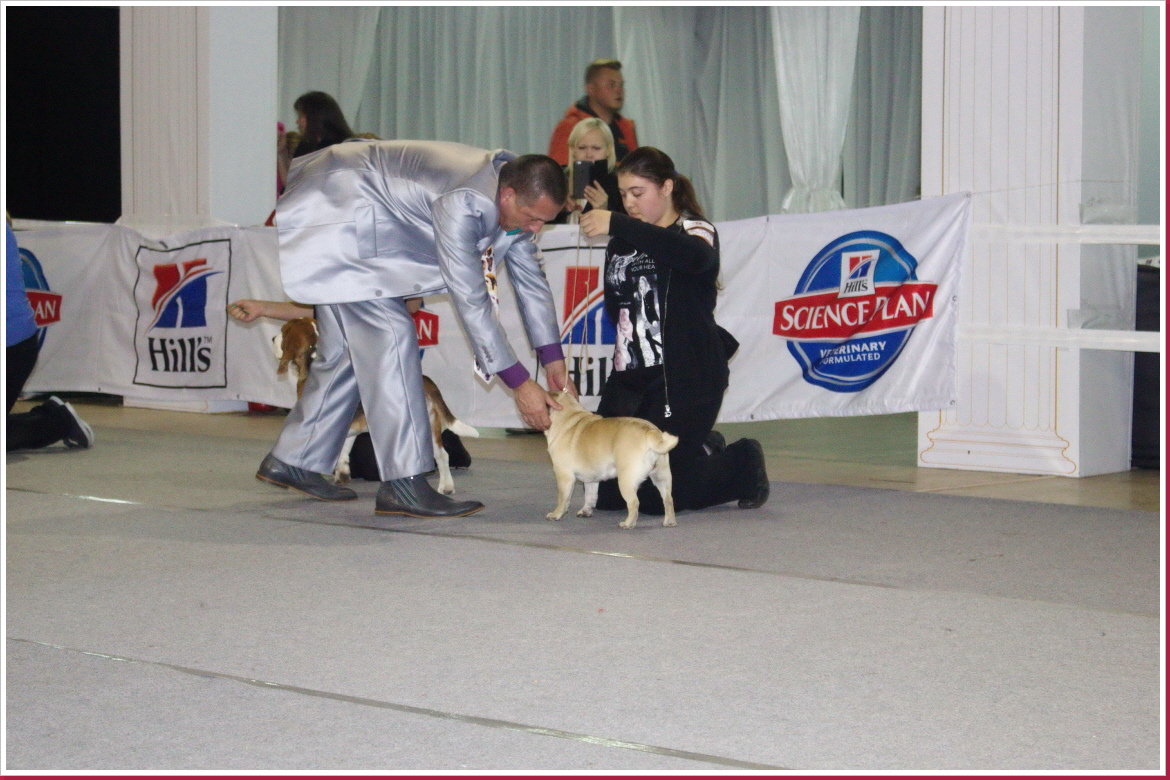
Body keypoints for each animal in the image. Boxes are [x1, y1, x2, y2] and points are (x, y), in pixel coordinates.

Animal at [273, 317, 478, 492]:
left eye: (283, 330)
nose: (273, 337)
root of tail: (424, 380)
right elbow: (342, 451)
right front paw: (342, 474)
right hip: (431, 428)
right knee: (442, 456)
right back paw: (446, 487)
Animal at [543, 390, 678, 529]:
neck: (569, 418)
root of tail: (650, 431)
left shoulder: (564, 476)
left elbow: (563, 498)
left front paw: (556, 514)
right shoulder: (591, 480)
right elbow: (590, 496)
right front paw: (586, 511)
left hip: (626, 480)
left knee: (634, 502)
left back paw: (628, 524)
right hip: (662, 477)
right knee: (668, 499)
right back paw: (670, 522)